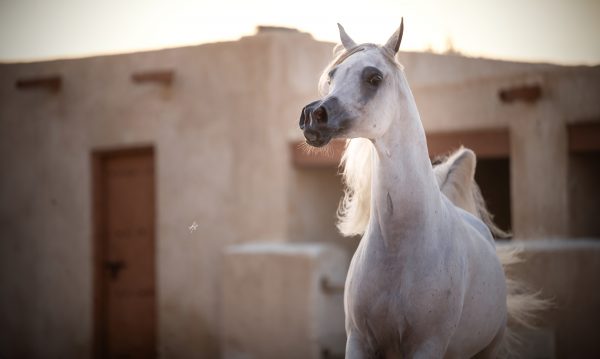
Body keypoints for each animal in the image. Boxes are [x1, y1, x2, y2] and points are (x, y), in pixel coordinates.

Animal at [298, 21, 548, 358]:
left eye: (373, 77)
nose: (312, 115)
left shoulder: (427, 345)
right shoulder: (359, 340)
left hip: (488, 349)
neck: (400, 244)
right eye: (332, 76)